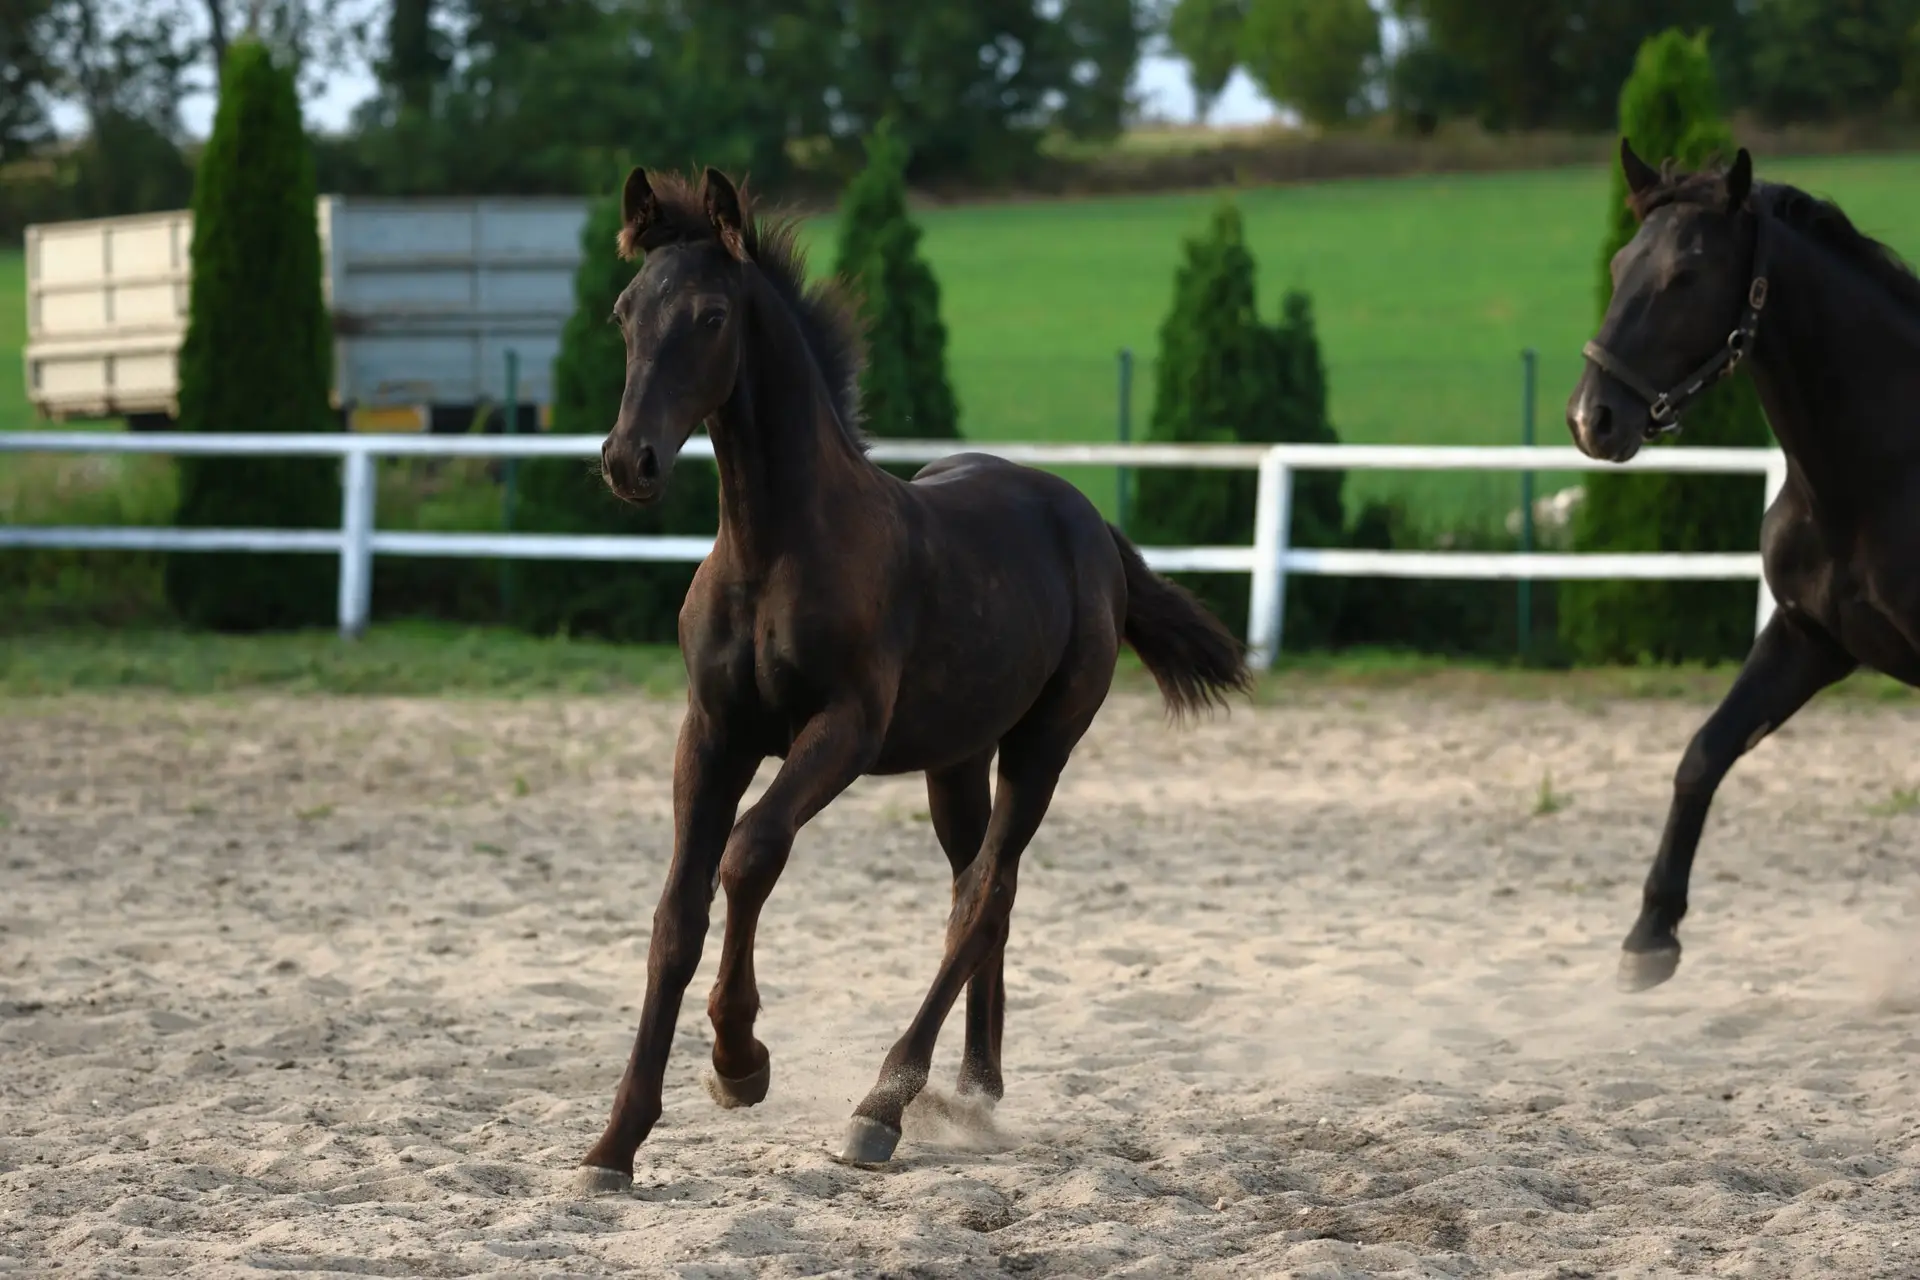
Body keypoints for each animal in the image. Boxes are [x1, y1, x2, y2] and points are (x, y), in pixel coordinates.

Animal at [576, 165, 1251, 1187]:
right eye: (623, 313)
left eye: (709, 316)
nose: (629, 460)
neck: (773, 548)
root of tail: (1089, 524)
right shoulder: (713, 731)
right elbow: (676, 913)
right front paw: (615, 1143)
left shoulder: (844, 730)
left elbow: (750, 852)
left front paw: (740, 1062)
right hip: (956, 758)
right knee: (982, 891)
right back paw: (971, 1094)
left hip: (1043, 743)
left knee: (983, 892)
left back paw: (883, 1104)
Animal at [1567, 139, 1920, 993]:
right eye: (1621, 264)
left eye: (1687, 275)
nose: (1592, 419)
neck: (1881, 475)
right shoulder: (1806, 639)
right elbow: (1704, 753)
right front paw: (1649, 937)